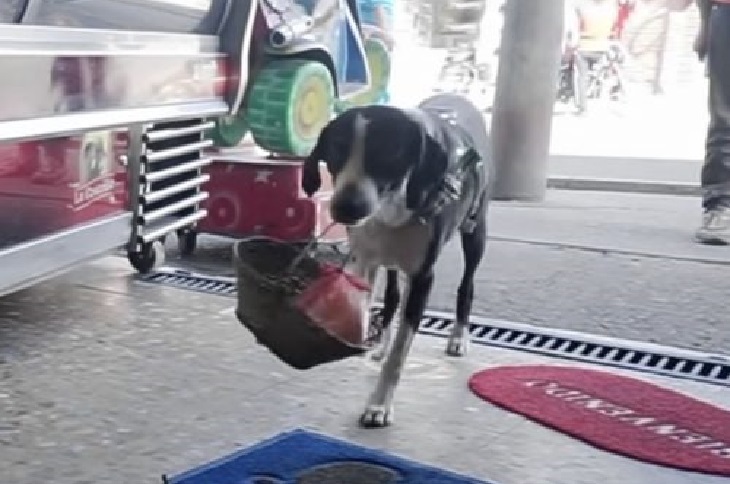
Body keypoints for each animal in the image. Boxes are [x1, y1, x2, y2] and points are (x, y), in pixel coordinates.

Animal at [298, 93, 492, 428]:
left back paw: (458, 337)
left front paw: (379, 405)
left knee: (466, 285)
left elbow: (399, 356)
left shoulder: (423, 278)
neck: (391, 209)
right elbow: (369, 306)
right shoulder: (365, 260)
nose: (346, 207)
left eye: (389, 149)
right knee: (391, 295)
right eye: (336, 147)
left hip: (475, 231)